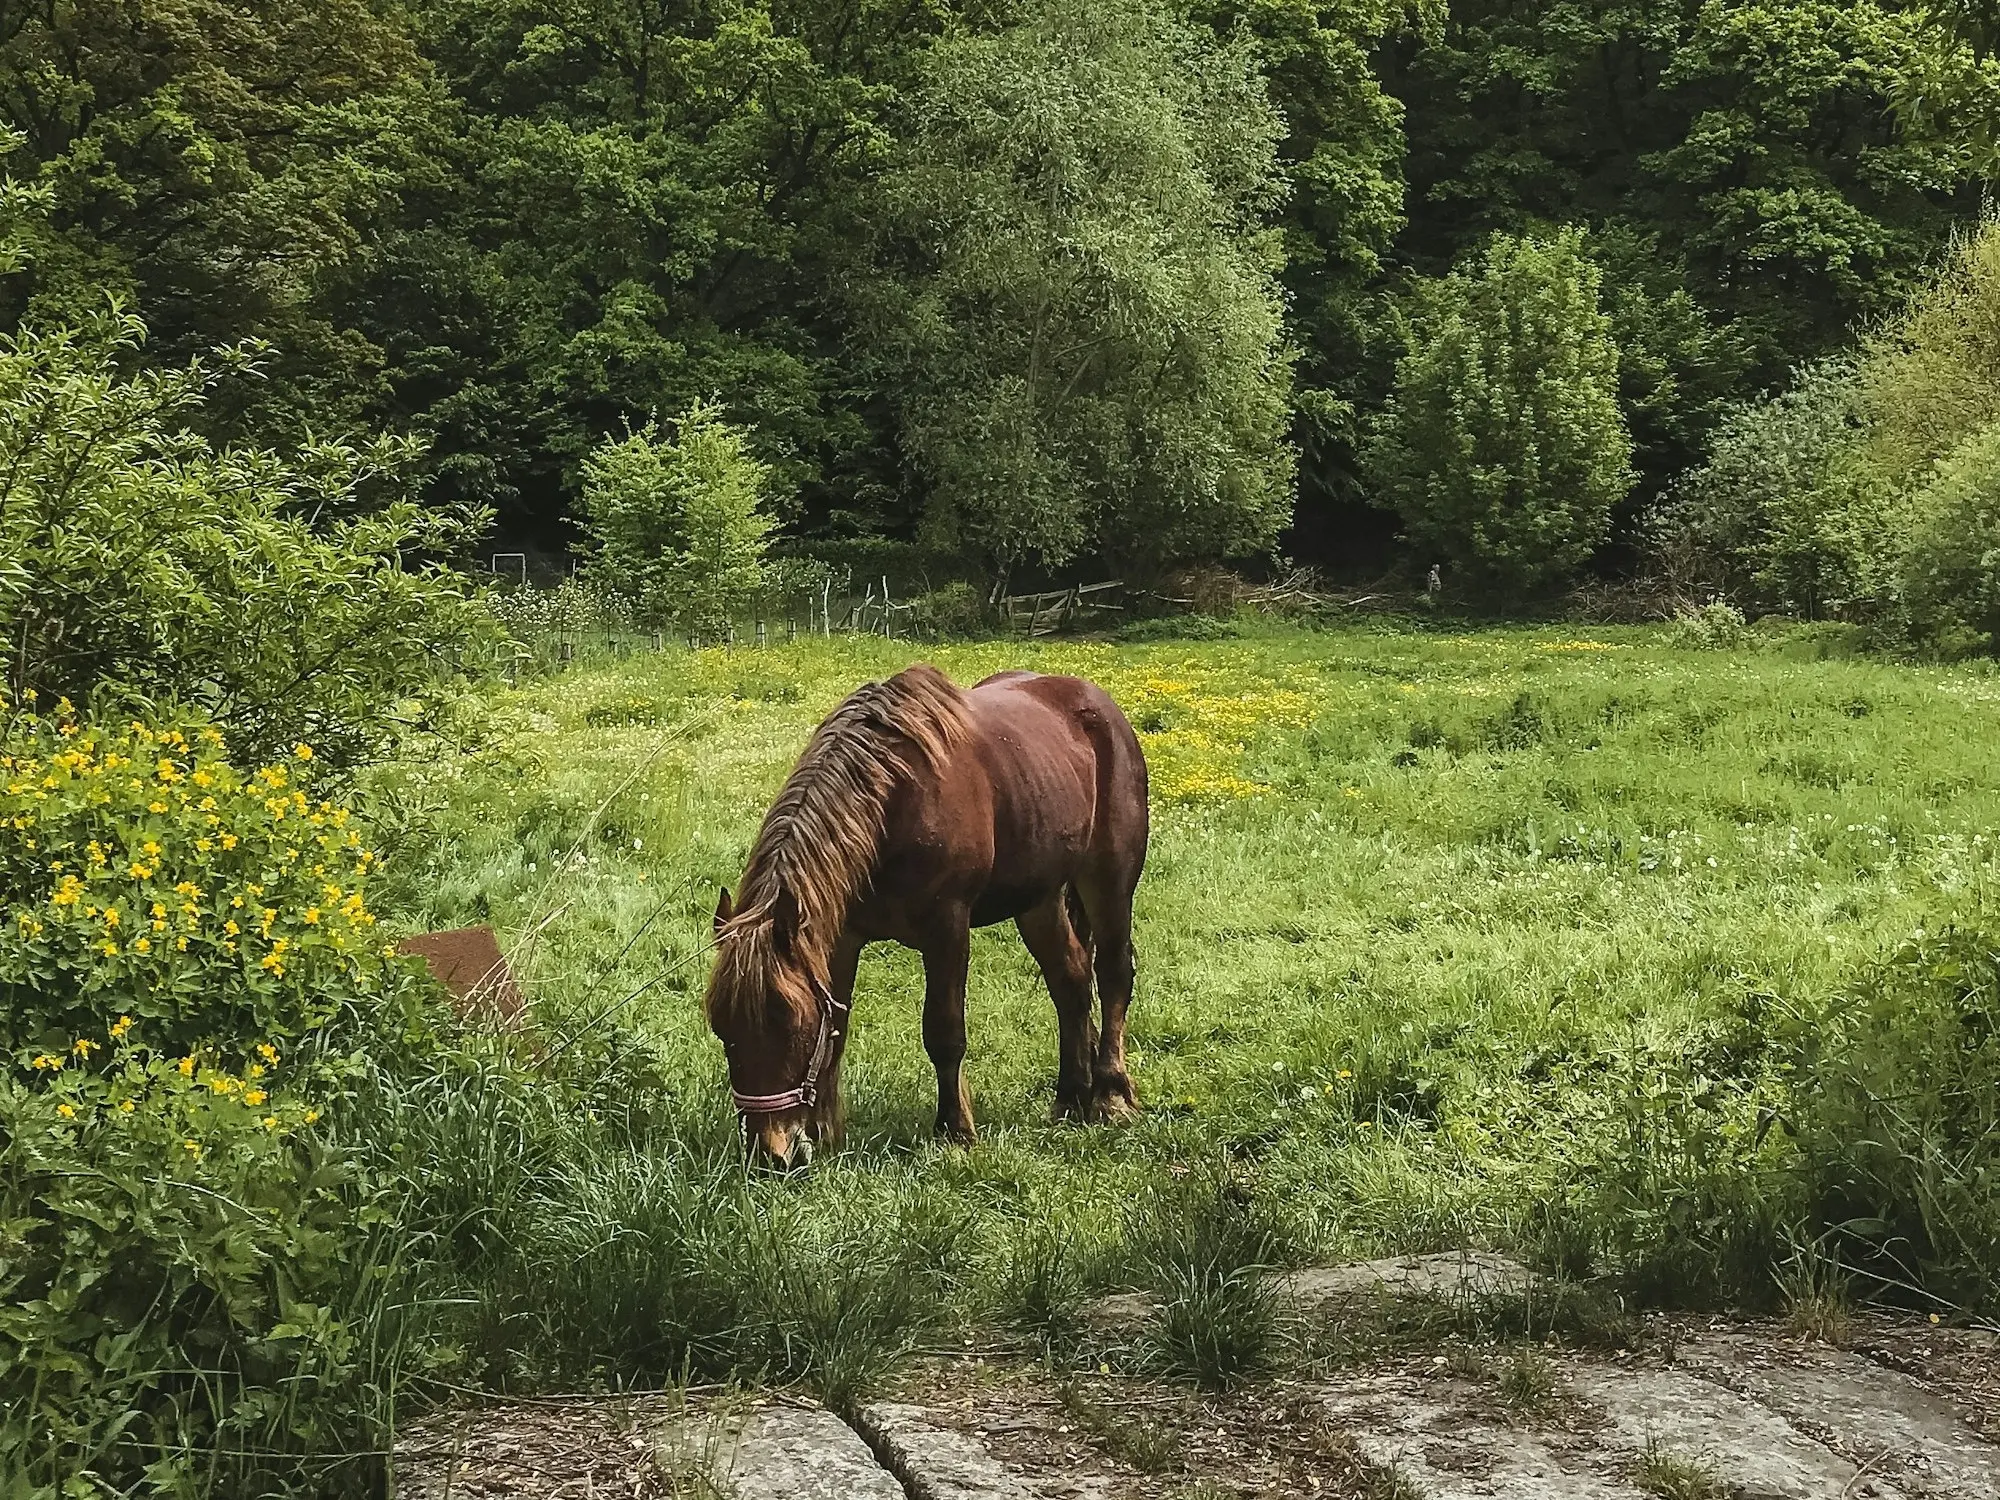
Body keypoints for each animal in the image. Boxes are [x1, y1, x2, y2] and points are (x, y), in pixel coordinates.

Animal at [704, 664, 1152, 1168]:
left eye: (787, 1020)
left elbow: (944, 1032)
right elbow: (836, 1030)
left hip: (1108, 878)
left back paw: (1109, 1096)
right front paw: (825, 1133)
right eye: (721, 1026)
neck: (893, 803)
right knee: (1070, 979)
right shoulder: (841, 938)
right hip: (1040, 896)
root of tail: (1099, 704)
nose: (769, 1154)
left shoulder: (947, 928)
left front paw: (954, 1132)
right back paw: (1070, 1096)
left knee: (1113, 974)